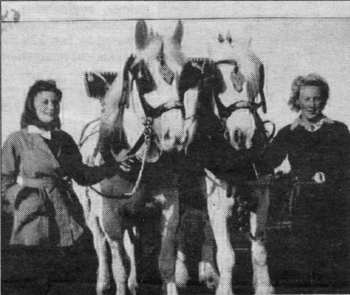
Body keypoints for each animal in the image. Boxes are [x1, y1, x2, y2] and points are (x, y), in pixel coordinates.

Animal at [73, 20, 200, 295]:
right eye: (143, 77)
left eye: (183, 78)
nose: (175, 137)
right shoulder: (111, 219)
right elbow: (118, 263)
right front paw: (118, 281)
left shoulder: (168, 210)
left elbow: (165, 264)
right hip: (92, 214)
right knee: (101, 246)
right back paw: (103, 281)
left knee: (130, 246)